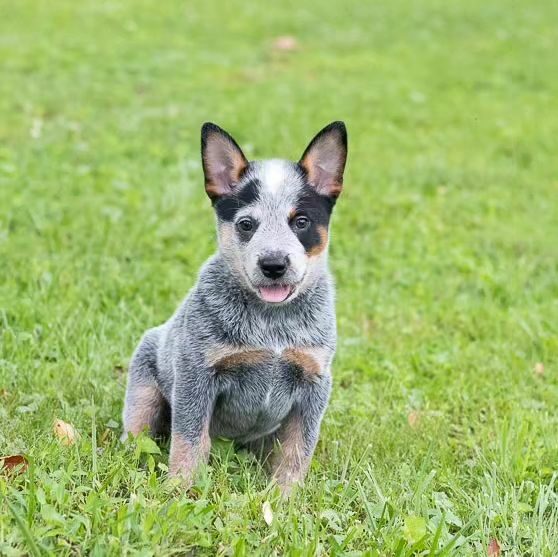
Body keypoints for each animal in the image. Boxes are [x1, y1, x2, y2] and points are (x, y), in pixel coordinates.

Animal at [123, 120, 350, 490]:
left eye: (301, 221)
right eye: (246, 224)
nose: (273, 264)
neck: (272, 325)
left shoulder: (314, 382)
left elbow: (297, 450)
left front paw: (285, 497)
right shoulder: (197, 374)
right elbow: (189, 440)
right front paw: (179, 489)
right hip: (143, 388)